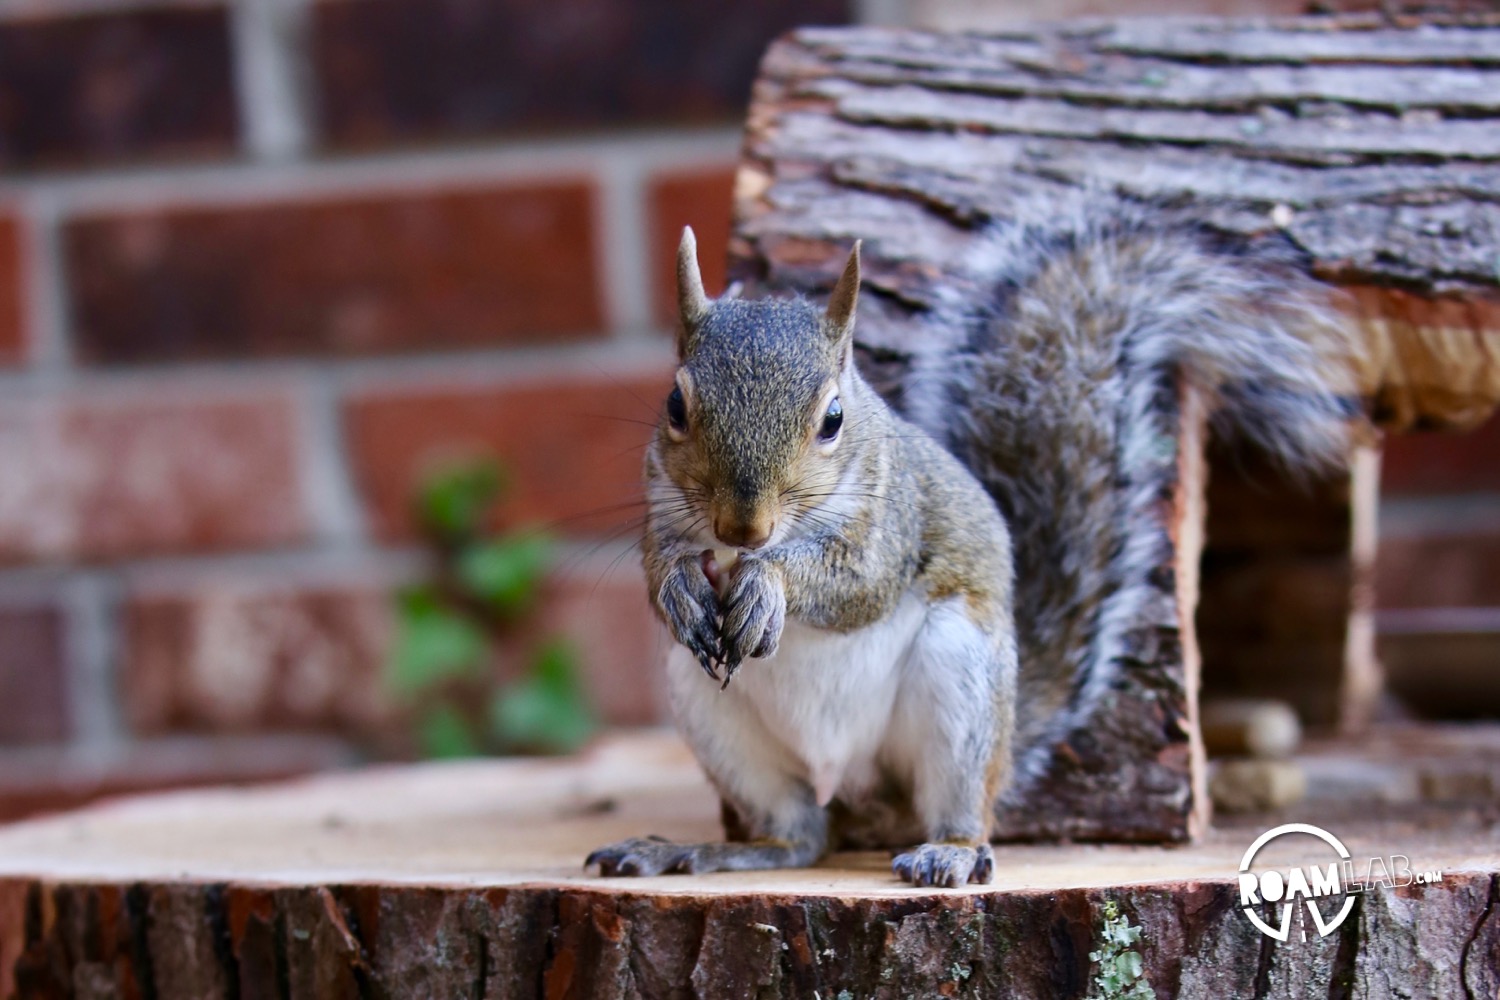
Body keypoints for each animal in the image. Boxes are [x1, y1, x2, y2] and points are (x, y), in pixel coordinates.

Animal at [582, 191, 1362, 887]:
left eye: (832, 419)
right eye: (675, 405)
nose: (742, 528)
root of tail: (858, 788)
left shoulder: (893, 523)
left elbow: (861, 584)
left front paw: (770, 584)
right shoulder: (662, 508)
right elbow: (658, 563)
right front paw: (680, 586)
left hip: (959, 676)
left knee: (956, 809)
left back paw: (950, 853)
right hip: (708, 705)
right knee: (797, 838)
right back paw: (698, 850)